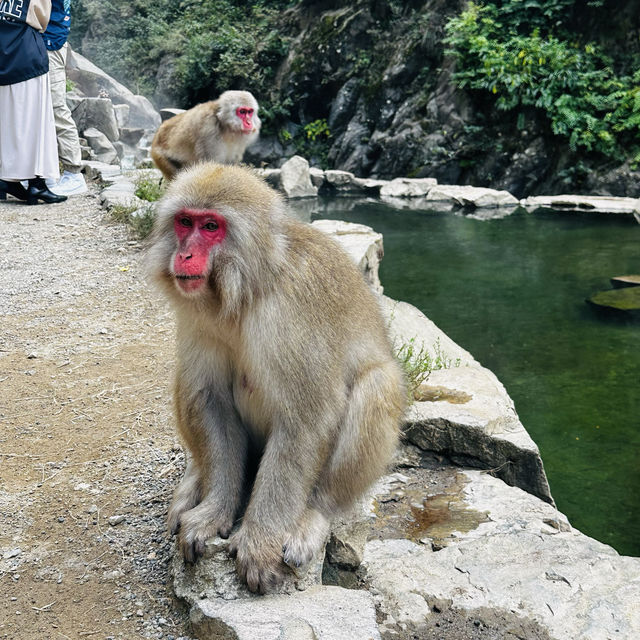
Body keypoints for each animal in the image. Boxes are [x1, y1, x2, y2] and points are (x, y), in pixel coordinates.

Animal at [148, 162, 404, 592]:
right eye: (185, 222)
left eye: (211, 226)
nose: (184, 254)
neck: (246, 290)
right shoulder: (197, 316)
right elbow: (210, 400)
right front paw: (213, 512)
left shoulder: (291, 314)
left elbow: (307, 417)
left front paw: (259, 540)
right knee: (189, 384)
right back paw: (196, 480)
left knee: (377, 384)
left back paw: (314, 514)